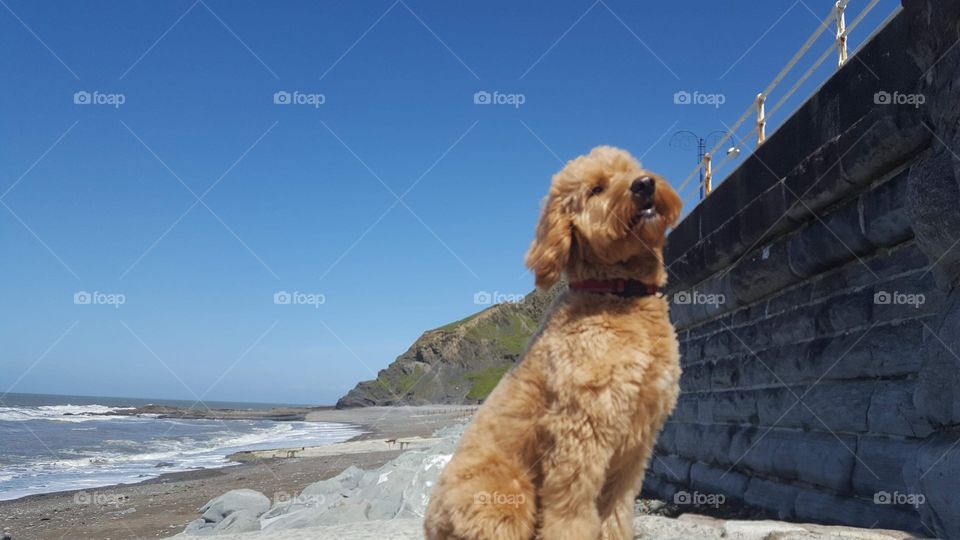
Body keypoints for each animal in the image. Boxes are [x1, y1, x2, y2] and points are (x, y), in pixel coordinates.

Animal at [426, 146, 684, 536]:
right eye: (595, 189)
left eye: (631, 170)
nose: (644, 184)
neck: (619, 294)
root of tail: (429, 522)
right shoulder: (581, 432)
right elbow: (571, 516)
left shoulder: (637, 442)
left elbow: (617, 510)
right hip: (503, 498)